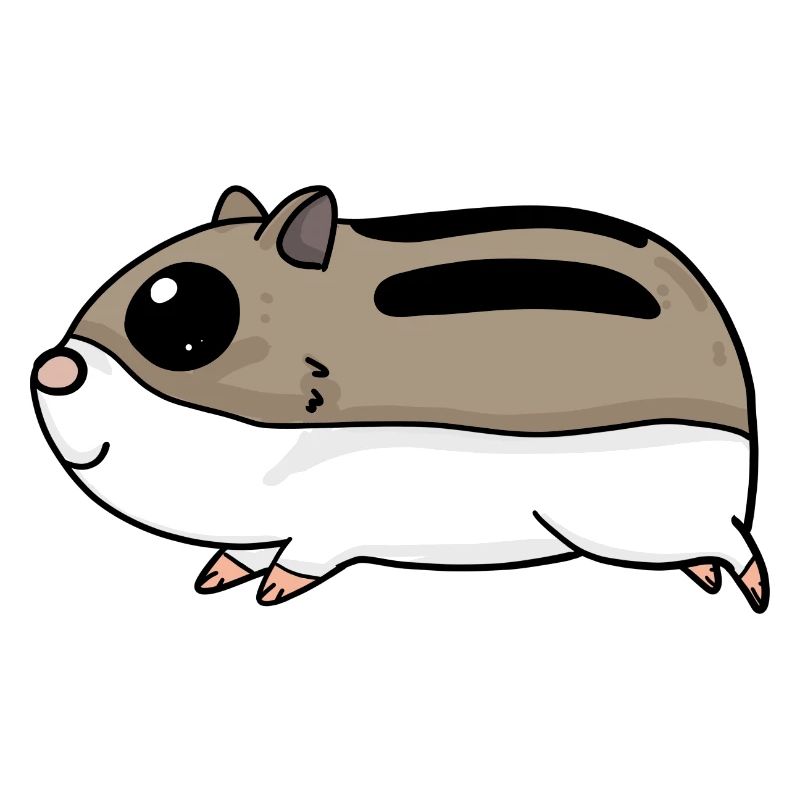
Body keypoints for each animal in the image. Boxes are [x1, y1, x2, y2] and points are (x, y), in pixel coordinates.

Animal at [30, 185, 768, 612]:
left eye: (185, 322)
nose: (51, 369)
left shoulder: (336, 516)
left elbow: (304, 556)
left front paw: (272, 590)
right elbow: (246, 551)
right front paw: (217, 574)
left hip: (628, 517)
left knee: (734, 546)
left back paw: (749, 587)